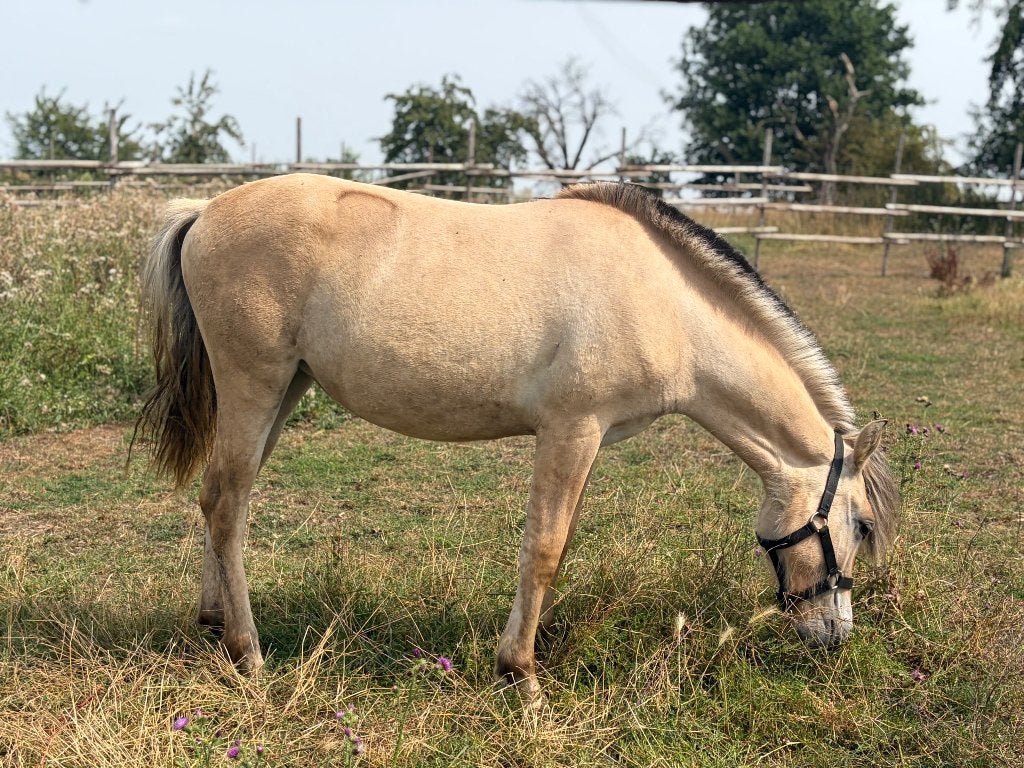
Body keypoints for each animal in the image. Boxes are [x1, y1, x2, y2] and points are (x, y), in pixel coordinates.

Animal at [135, 174, 898, 699]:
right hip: (255, 385)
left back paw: (215, 625)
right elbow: (545, 548)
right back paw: (249, 654)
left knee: (221, 499)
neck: (666, 302)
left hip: (284, 390)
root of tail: (205, 212)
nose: (834, 636)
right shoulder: (571, 430)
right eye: (859, 524)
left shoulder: (587, 440)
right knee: (227, 503)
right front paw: (521, 675)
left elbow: (559, 541)